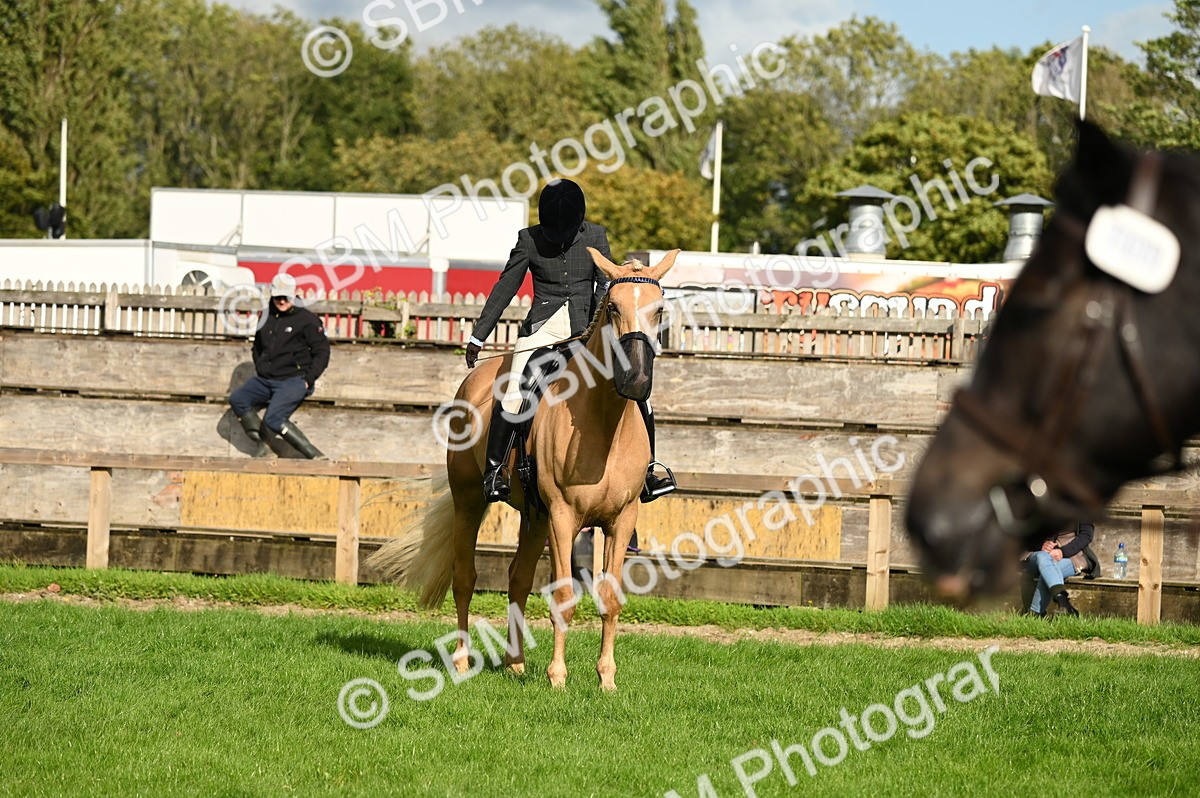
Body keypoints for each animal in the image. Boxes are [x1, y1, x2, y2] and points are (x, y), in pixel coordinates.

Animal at [369, 248, 680, 690]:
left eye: (660, 311)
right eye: (614, 308)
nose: (636, 380)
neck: (603, 421)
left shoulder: (621, 519)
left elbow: (609, 597)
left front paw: (606, 680)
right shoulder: (565, 518)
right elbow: (564, 597)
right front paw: (558, 678)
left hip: (536, 517)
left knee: (518, 578)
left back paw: (514, 662)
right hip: (471, 502)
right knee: (464, 578)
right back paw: (462, 662)